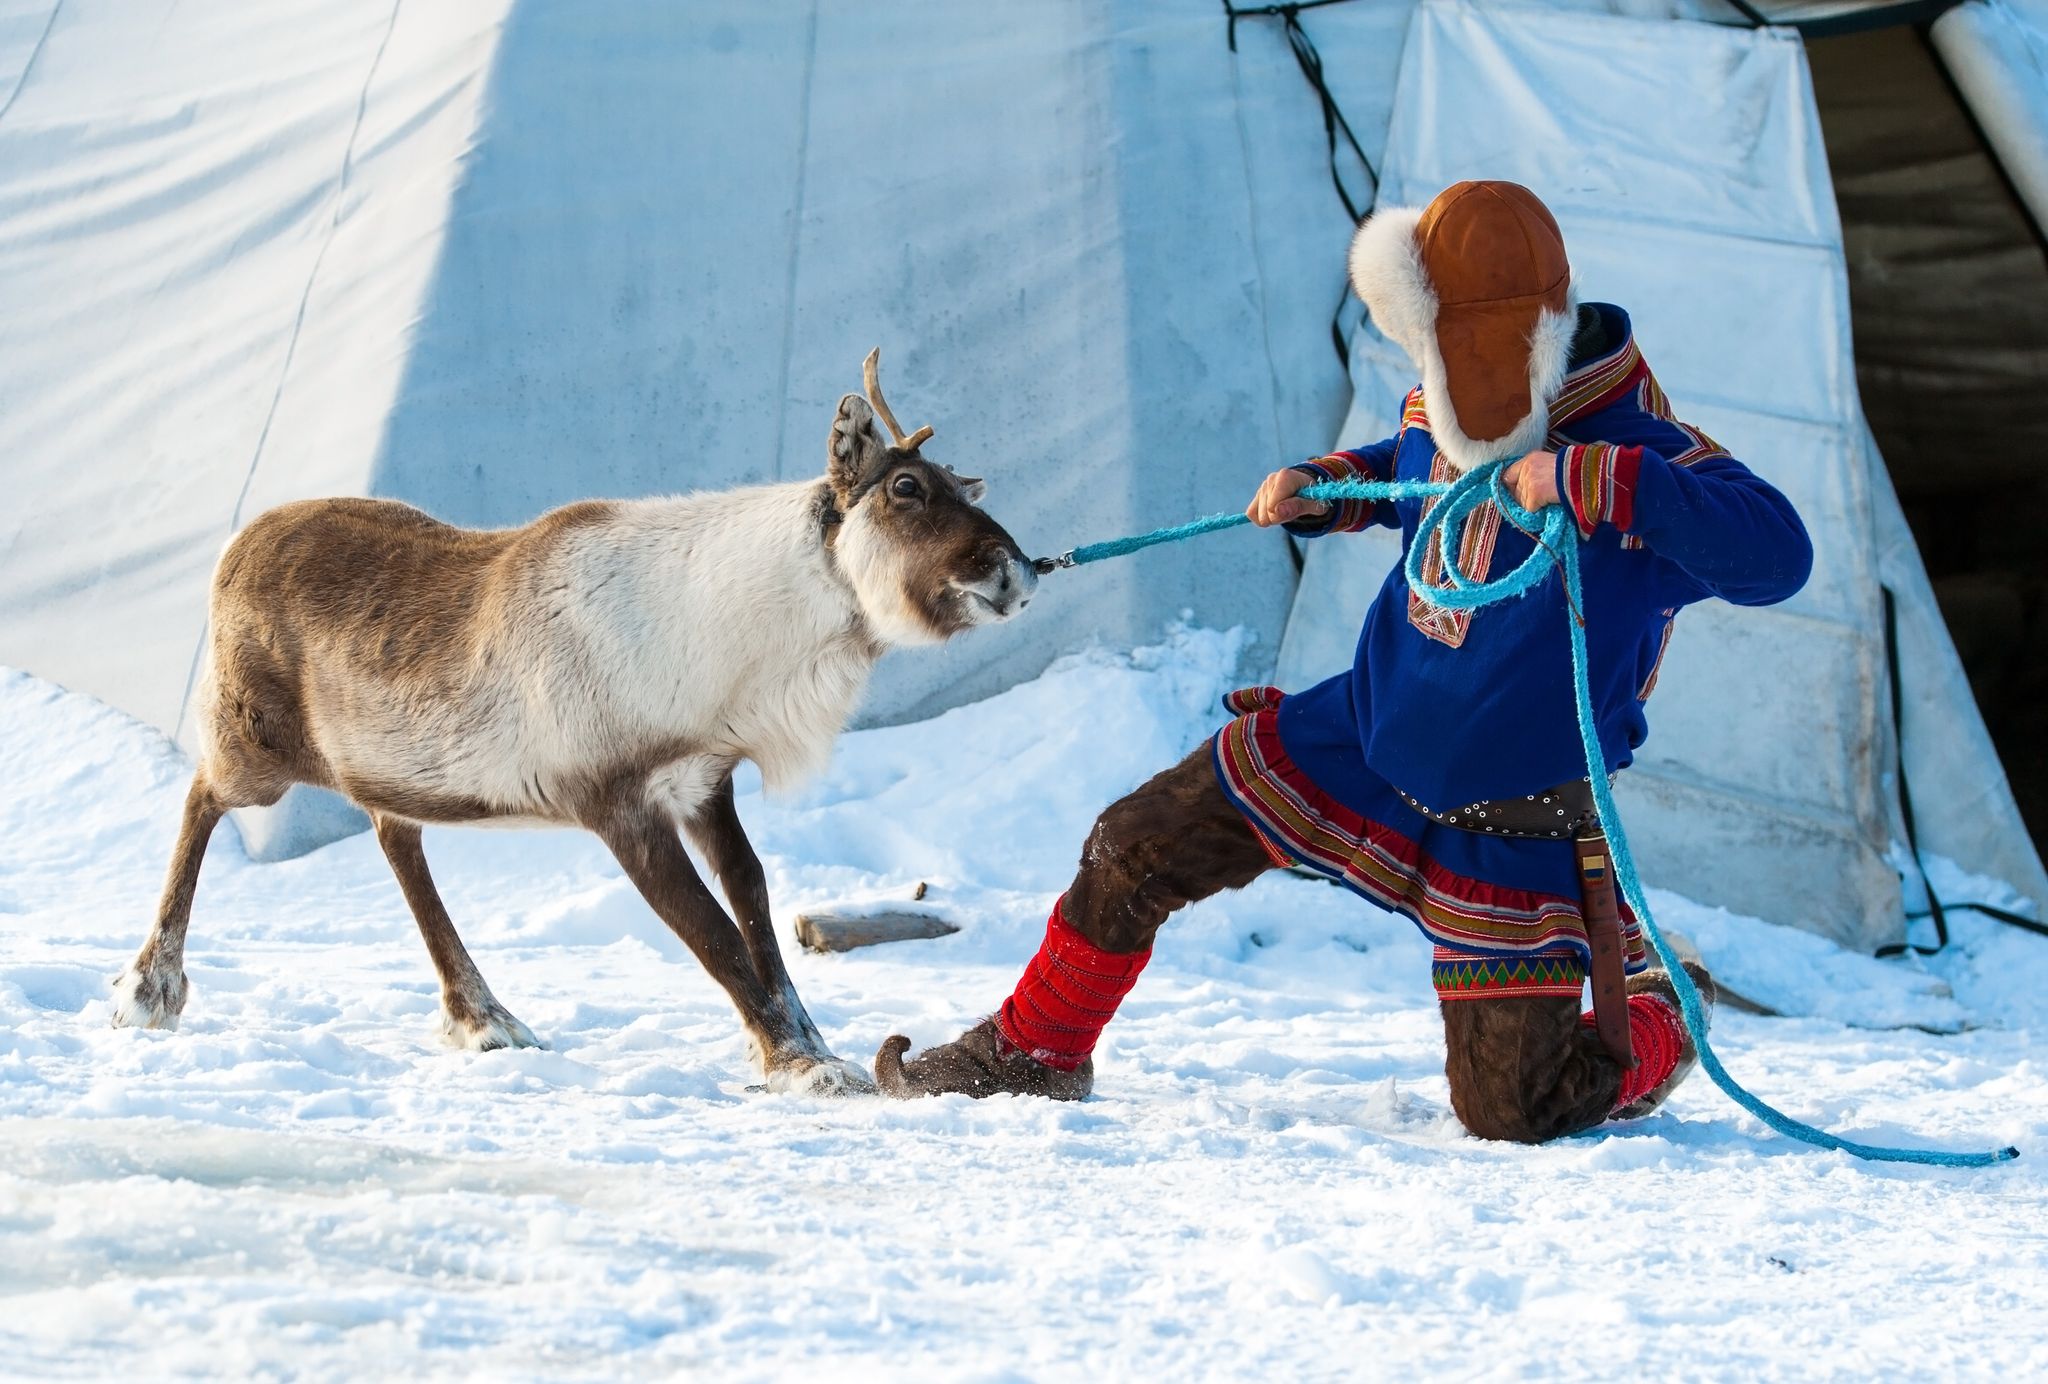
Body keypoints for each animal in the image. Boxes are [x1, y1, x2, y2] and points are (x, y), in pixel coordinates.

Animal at [110, 351, 1035, 1095]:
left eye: (963, 484)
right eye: (907, 487)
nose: (1017, 571)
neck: (738, 644)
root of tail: (235, 546)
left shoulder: (706, 786)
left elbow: (758, 913)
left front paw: (803, 1046)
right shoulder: (617, 802)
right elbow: (714, 934)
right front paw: (802, 1066)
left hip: (389, 763)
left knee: (394, 835)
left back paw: (484, 1016)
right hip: (254, 746)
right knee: (200, 798)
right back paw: (150, 989)